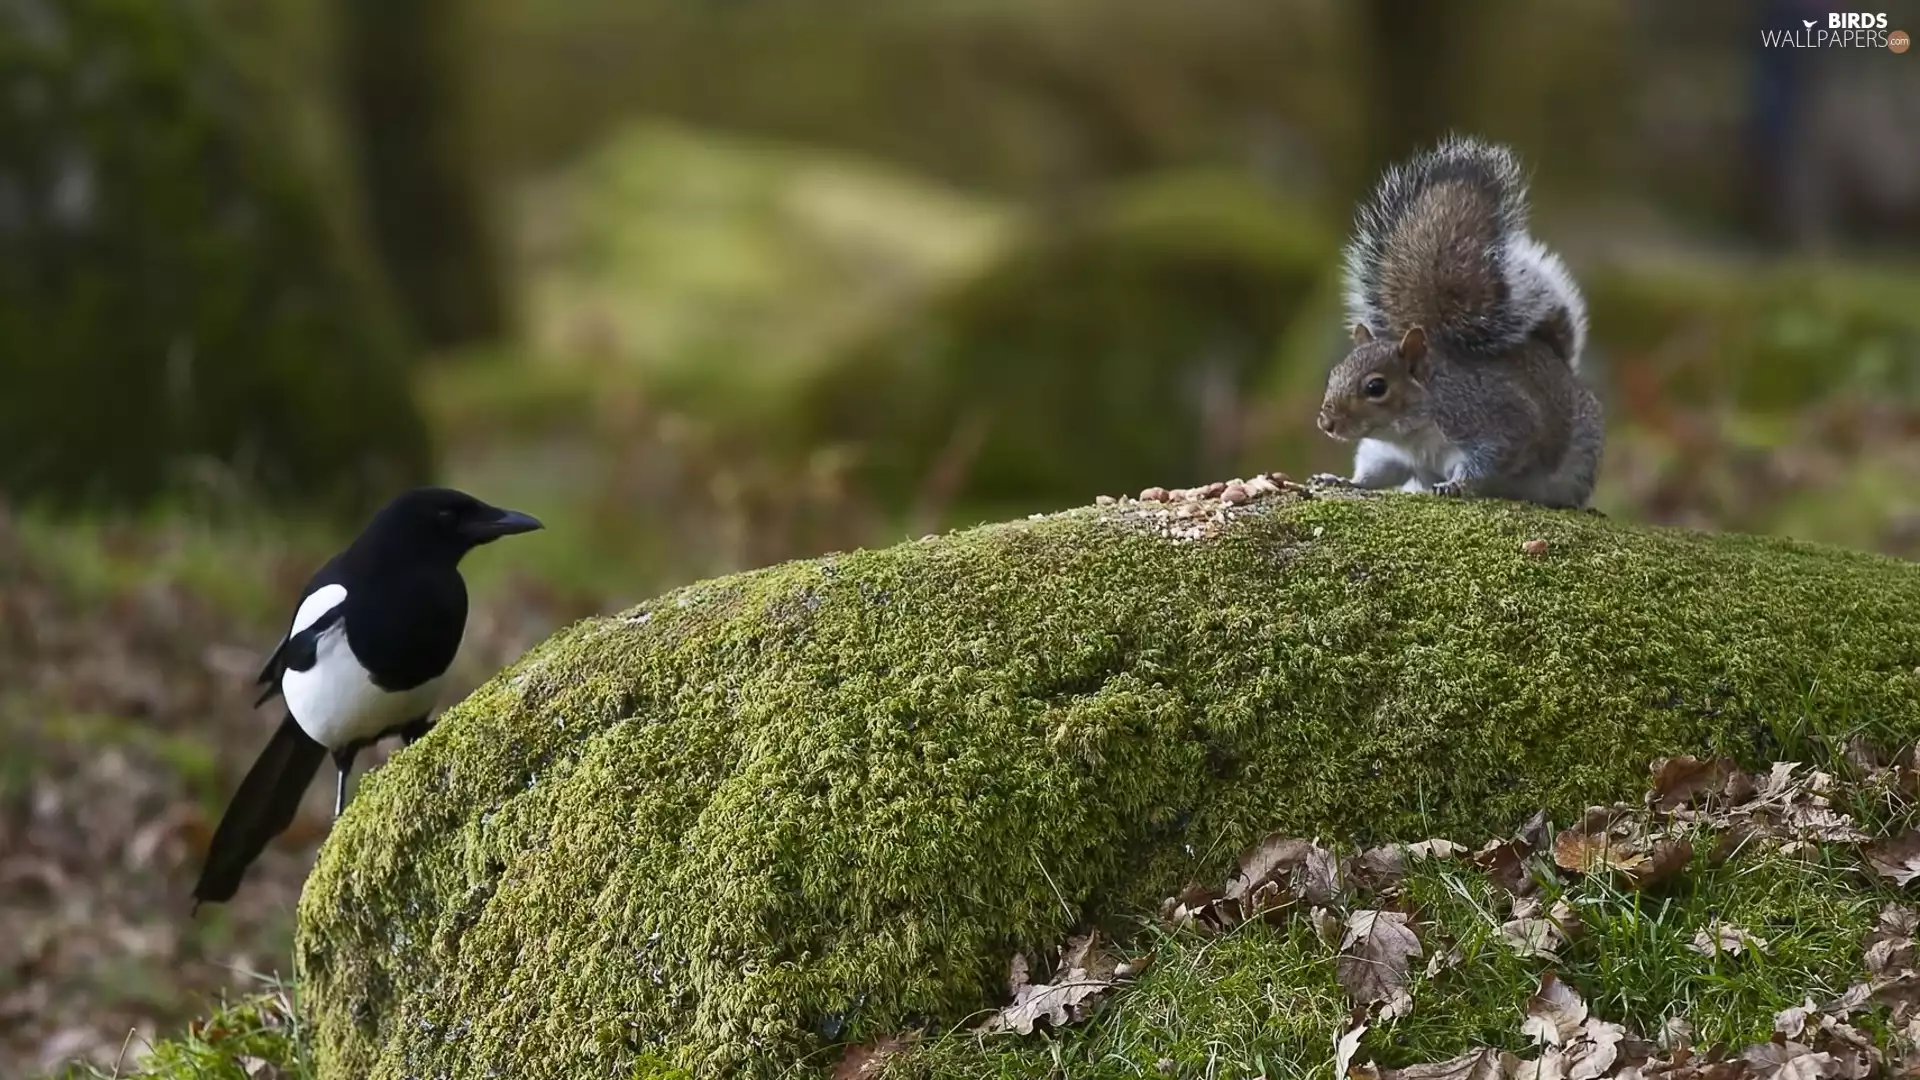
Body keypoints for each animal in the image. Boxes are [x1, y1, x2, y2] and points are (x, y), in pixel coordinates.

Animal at [1312, 136, 1604, 510]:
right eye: (1334, 373)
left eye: (1376, 387)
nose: (1327, 423)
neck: (1410, 434)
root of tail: (1562, 365)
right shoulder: (1387, 455)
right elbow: (1373, 475)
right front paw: (1341, 480)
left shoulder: (1497, 425)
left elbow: (1486, 463)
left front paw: (1454, 485)